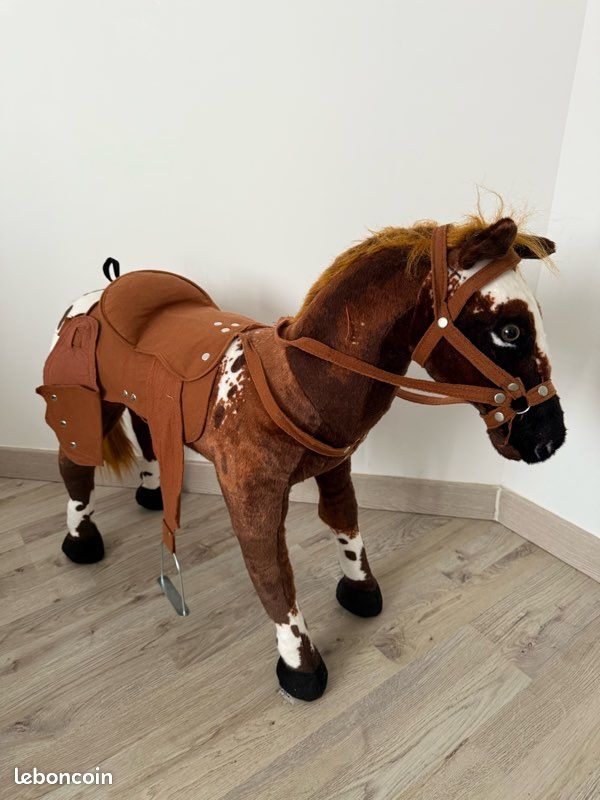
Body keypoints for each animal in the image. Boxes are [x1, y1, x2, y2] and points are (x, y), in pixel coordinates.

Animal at [38, 215, 566, 701]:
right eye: (510, 328)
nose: (550, 439)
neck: (299, 380)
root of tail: (100, 290)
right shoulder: (252, 498)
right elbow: (272, 575)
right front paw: (300, 666)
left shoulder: (335, 469)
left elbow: (346, 523)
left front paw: (360, 591)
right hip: (85, 409)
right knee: (74, 469)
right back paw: (81, 541)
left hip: (143, 403)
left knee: (147, 437)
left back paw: (151, 494)